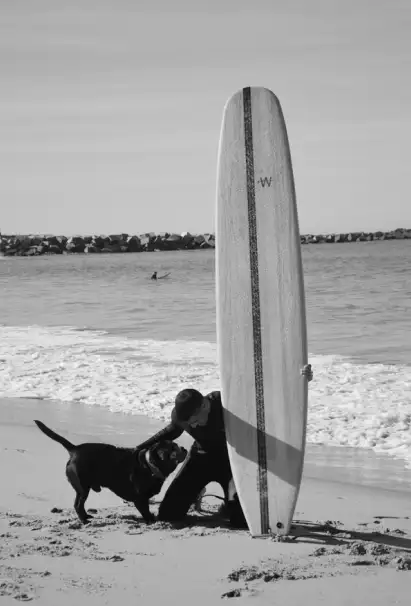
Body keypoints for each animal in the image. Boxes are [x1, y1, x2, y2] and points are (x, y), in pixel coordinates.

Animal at [34, 420, 187, 524]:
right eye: (173, 448)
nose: (184, 448)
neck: (149, 465)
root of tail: (74, 449)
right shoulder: (140, 499)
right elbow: (146, 511)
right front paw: (151, 520)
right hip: (83, 486)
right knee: (78, 504)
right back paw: (84, 520)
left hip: (82, 488)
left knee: (79, 504)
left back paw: (86, 517)